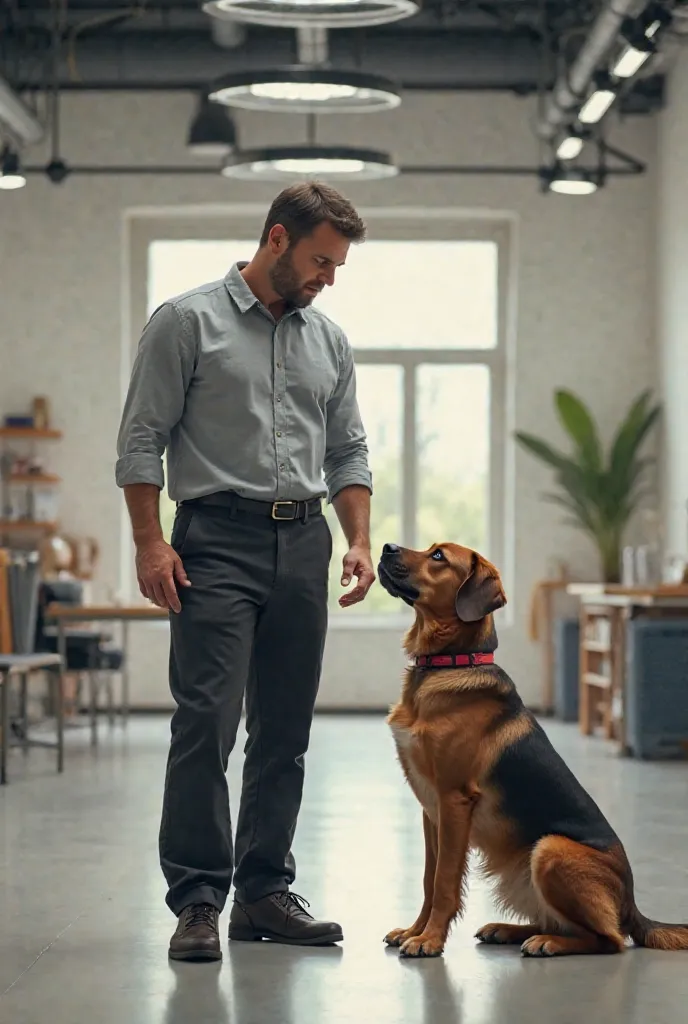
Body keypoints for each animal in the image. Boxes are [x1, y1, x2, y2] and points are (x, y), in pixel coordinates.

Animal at [376, 544, 688, 958]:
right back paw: (507, 930)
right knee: (558, 921)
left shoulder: (454, 800)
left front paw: (429, 939)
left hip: (549, 850)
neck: (447, 664)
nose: (386, 547)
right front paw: (415, 930)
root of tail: (631, 903)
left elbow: (444, 882)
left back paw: (548, 943)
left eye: (438, 556)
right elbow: (429, 880)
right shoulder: (432, 809)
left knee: (608, 940)